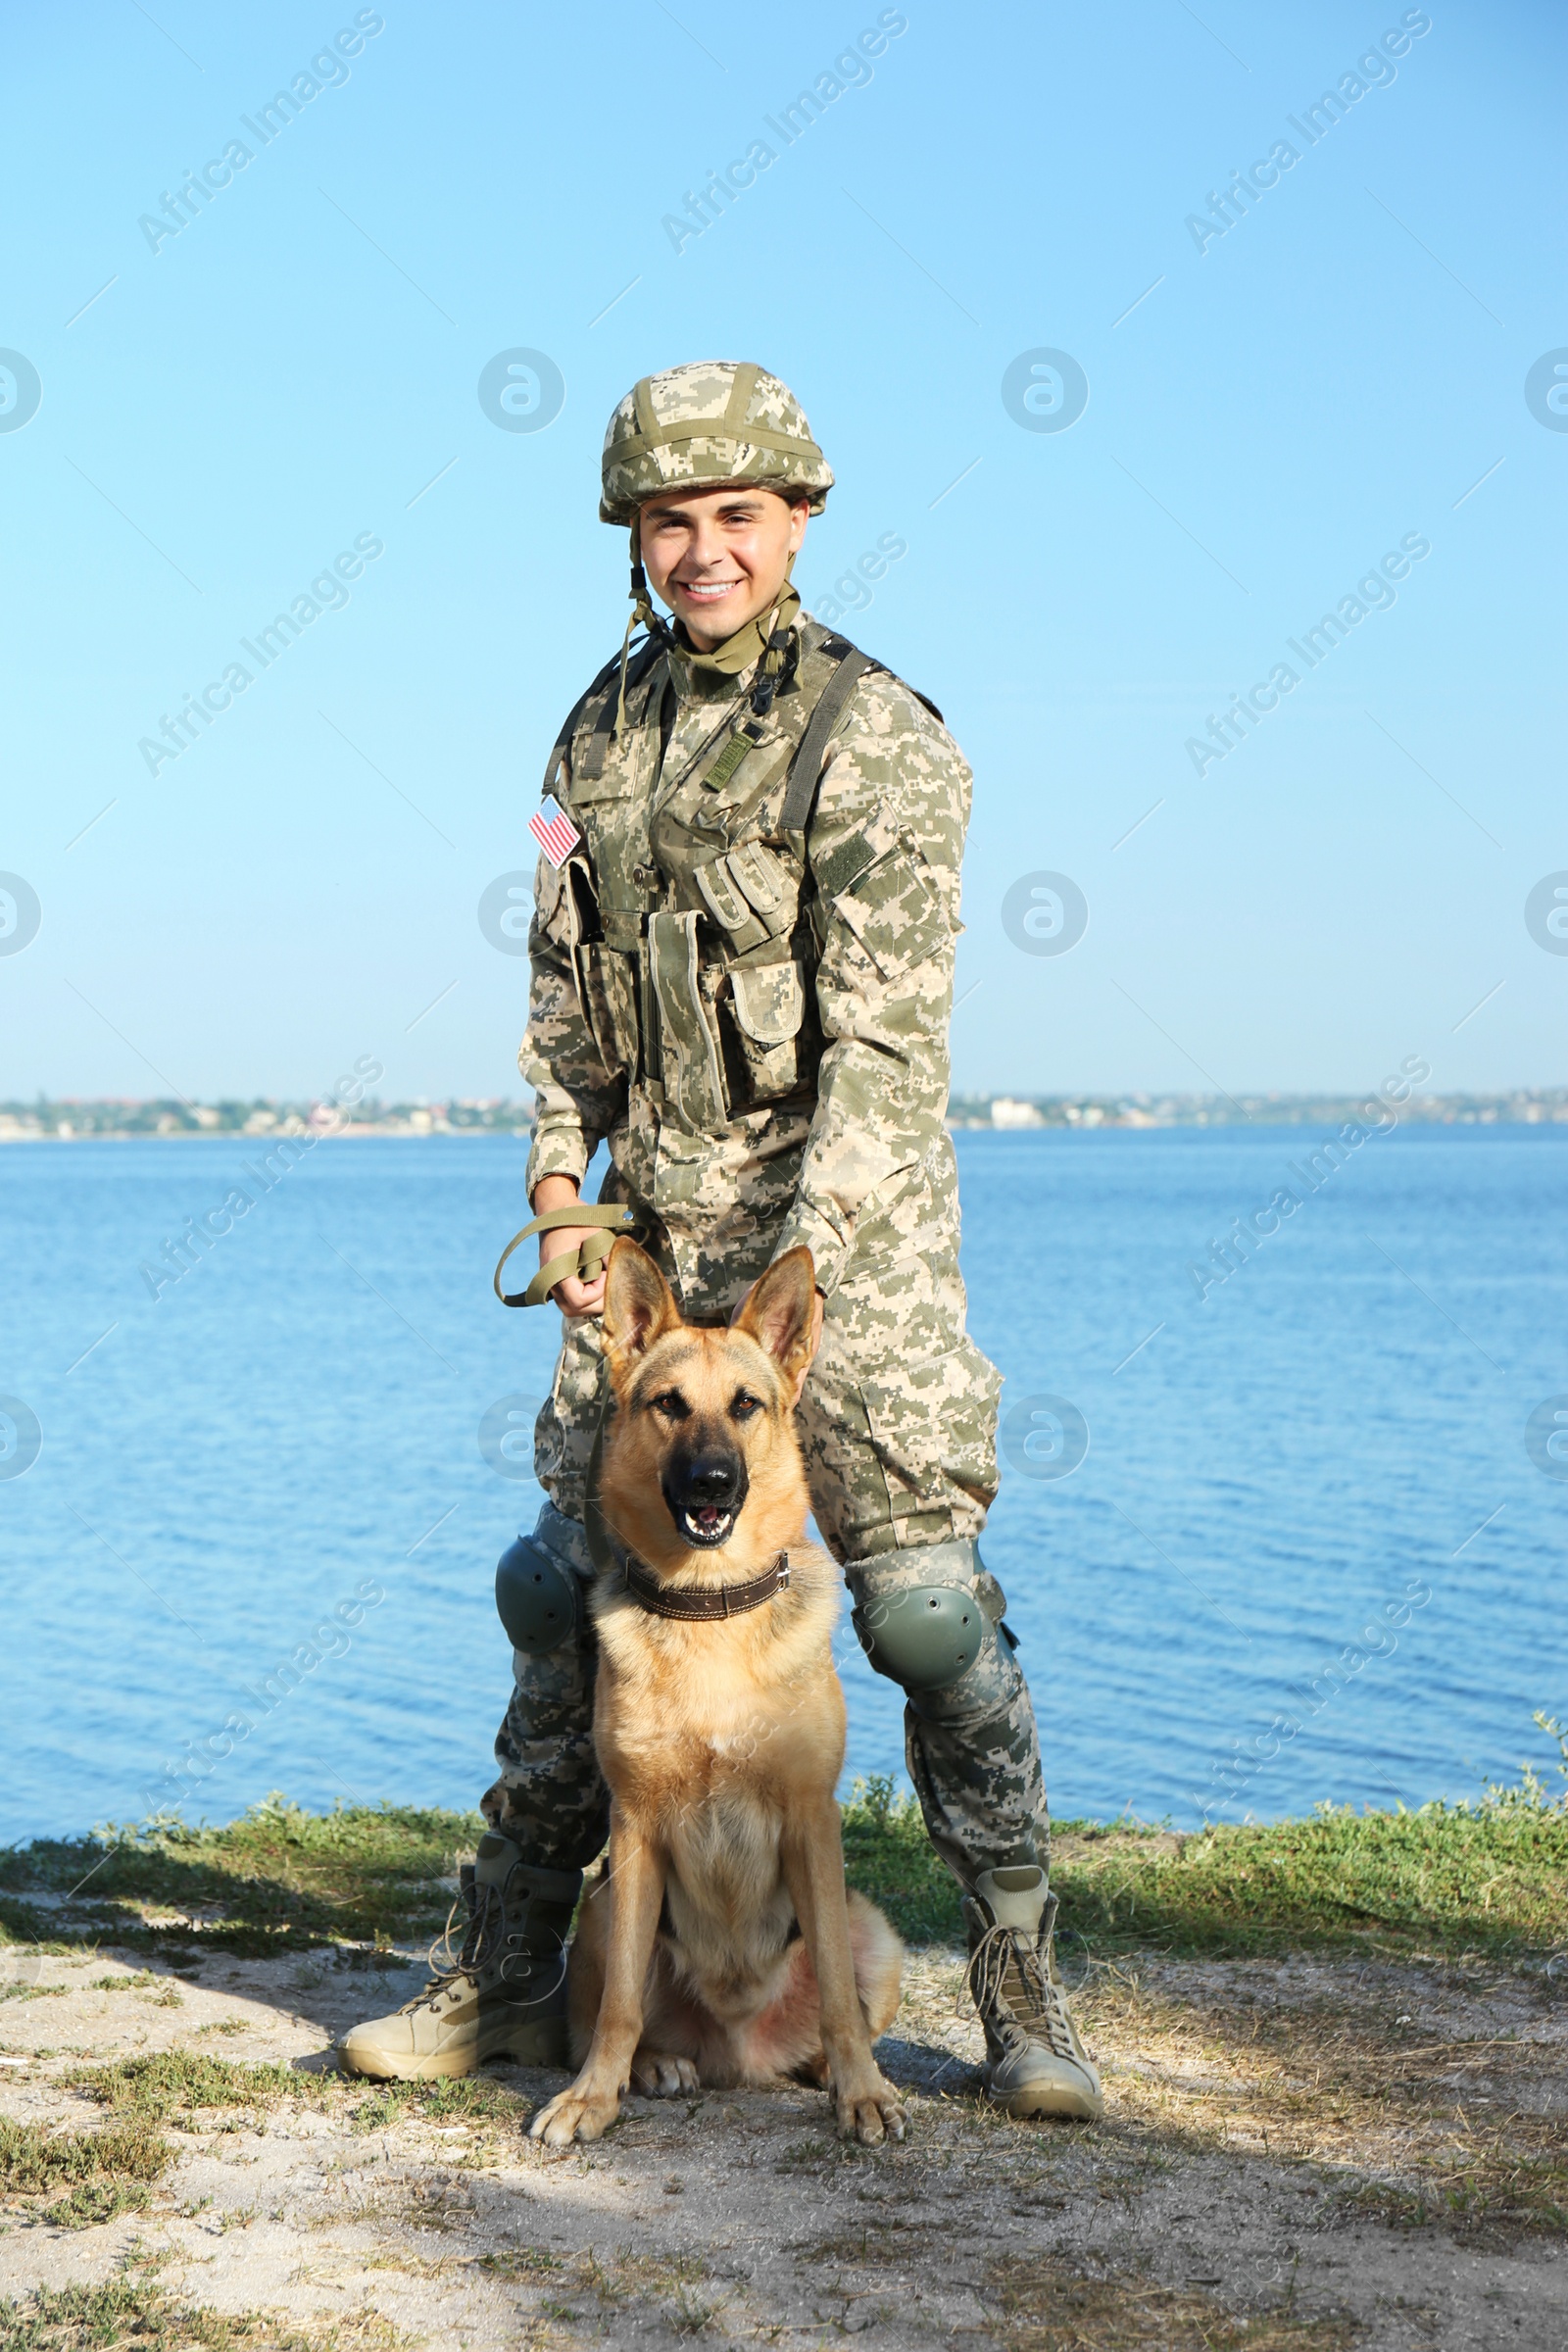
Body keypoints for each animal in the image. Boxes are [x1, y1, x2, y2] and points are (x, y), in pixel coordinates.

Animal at [533, 1250, 906, 2154]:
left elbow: (838, 1992)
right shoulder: (635, 1831)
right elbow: (619, 2006)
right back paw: (655, 2066)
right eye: (669, 1405)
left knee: (842, 2006)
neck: (711, 1610)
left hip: (872, 1927)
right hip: (603, 1910)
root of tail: (742, 2053)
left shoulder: (811, 1820)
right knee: (618, 2011)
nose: (712, 1480)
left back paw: (833, 2068)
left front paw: (861, 2094)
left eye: (745, 1406)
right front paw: (592, 2098)